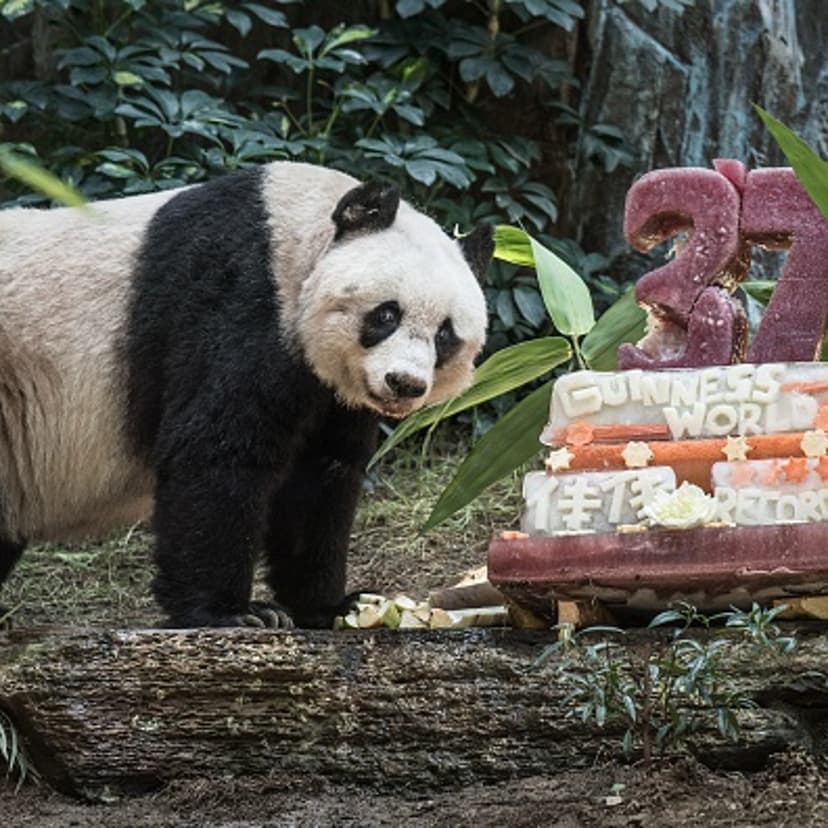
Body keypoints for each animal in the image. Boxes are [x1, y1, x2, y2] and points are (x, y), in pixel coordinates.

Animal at [0, 161, 491, 628]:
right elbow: (217, 450)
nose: (404, 383)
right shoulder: (235, 296)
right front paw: (231, 613)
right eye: (387, 314)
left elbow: (320, 477)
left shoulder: (330, 389)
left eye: (445, 335)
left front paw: (332, 606)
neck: (294, 240)